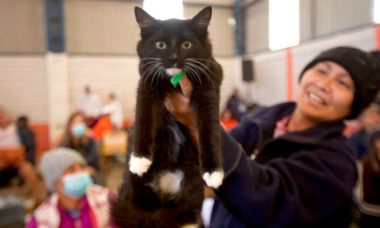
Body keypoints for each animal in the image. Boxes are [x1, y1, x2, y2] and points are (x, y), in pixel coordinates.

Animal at [110, 6, 223, 227]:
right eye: (160, 45)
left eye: (186, 44)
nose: (172, 57)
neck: (174, 82)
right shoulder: (146, 84)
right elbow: (144, 117)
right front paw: (140, 158)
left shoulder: (210, 82)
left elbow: (209, 128)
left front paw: (214, 171)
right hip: (132, 192)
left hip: (192, 186)